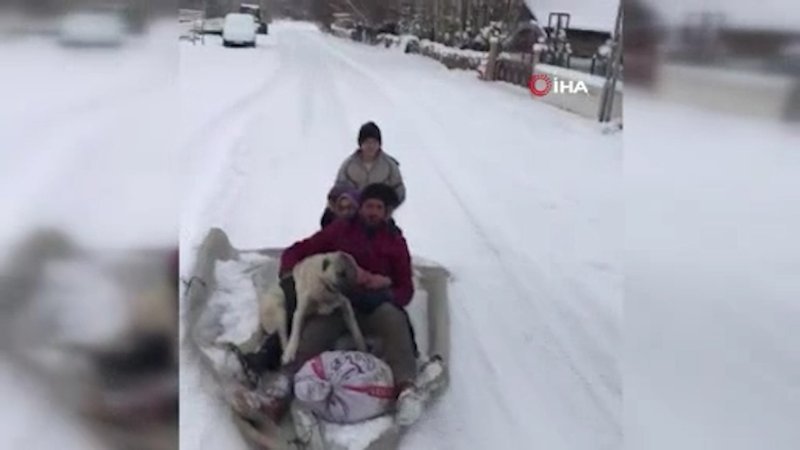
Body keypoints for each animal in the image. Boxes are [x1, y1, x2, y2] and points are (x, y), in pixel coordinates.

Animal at [238, 251, 367, 368]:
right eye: (341, 273)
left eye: (355, 276)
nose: (353, 293)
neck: (323, 283)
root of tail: (260, 319)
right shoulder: (299, 313)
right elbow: (294, 334)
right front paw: (289, 353)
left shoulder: (345, 306)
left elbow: (356, 330)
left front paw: (362, 346)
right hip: (280, 308)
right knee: (283, 338)